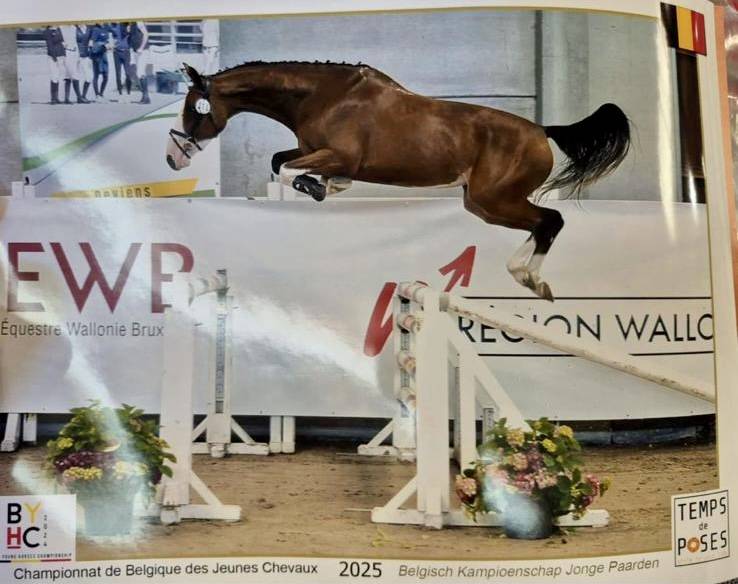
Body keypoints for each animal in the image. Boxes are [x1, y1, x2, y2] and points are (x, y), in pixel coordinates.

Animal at [166, 61, 630, 301]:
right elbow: (281, 161)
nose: (173, 158)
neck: (322, 96)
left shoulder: (340, 154)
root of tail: (543, 130)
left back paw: (530, 278)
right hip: (482, 204)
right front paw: (325, 186)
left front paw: (318, 187)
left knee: (550, 220)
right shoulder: (313, 150)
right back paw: (527, 276)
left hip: (494, 198)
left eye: (193, 108)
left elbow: (287, 169)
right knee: (542, 223)